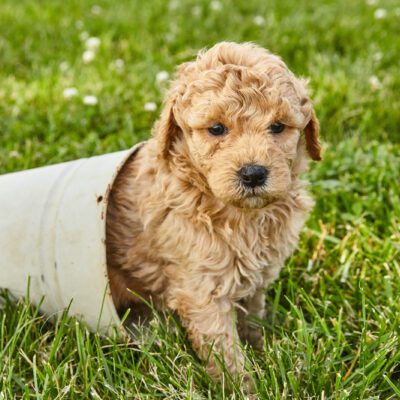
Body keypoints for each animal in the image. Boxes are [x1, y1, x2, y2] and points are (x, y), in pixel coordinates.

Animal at [106, 41, 322, 382]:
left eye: (277, 127)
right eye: (217, 129)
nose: (253, 174)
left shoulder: (256, 278)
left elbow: (252, 319)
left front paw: (262, 349)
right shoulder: (202, 290)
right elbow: (224, 353)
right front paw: (243, 386)